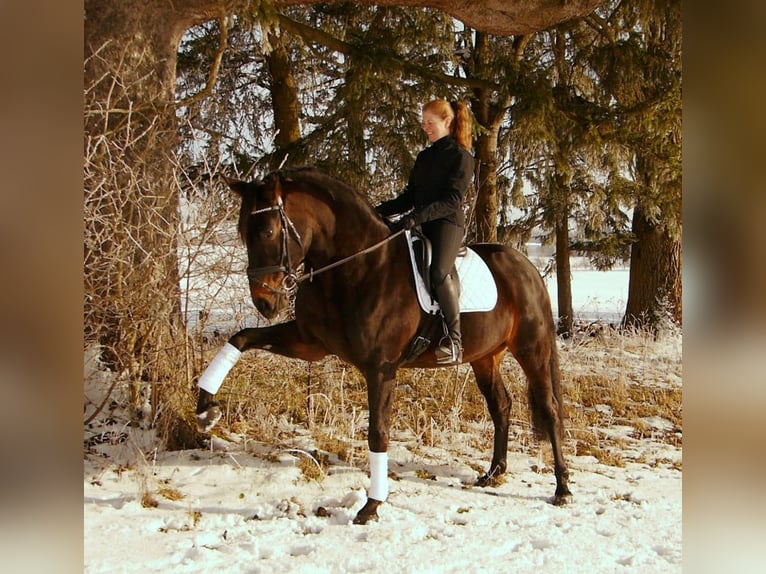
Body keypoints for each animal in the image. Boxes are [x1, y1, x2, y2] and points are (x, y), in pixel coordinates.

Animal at [195, 168, 572, 528]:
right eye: (244, 232)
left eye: (269, 232)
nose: (265, 302)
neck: (358, 268)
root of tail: (525, 266)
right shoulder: (309, 343)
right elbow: (240, 338)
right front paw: (206, 408)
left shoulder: (380, 369)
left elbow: (378, 434)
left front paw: (371, 506)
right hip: (485, 357)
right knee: (501, 406)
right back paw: (494, 472)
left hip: (532, 349)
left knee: (550, 408)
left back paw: (562, 488)